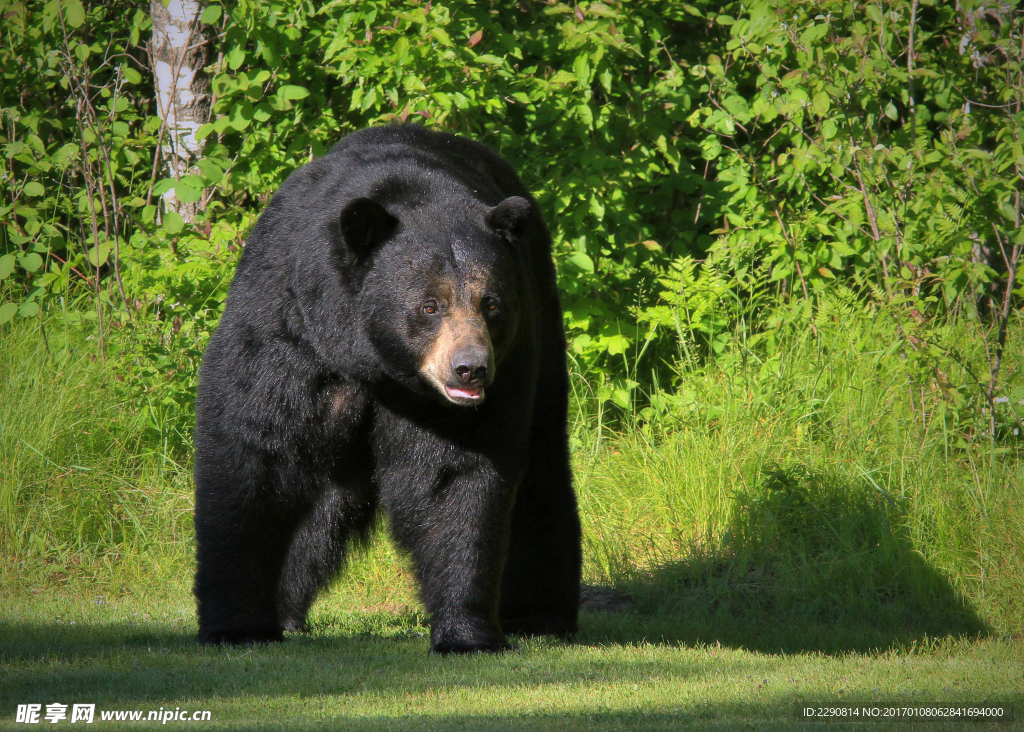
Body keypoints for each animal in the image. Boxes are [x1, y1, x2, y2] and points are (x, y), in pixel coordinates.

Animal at [193, 125, 582, 654]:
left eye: (491, 302)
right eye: (430, 305)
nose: (471, 369)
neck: (368, 361)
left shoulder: (461, 398)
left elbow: (456, 475)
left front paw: (467, 634)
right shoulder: (287, 334)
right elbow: (255, 451)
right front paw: (237, 624)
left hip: (539, 322)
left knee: (542, 467)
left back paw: (540, 613)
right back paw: (287, 610)